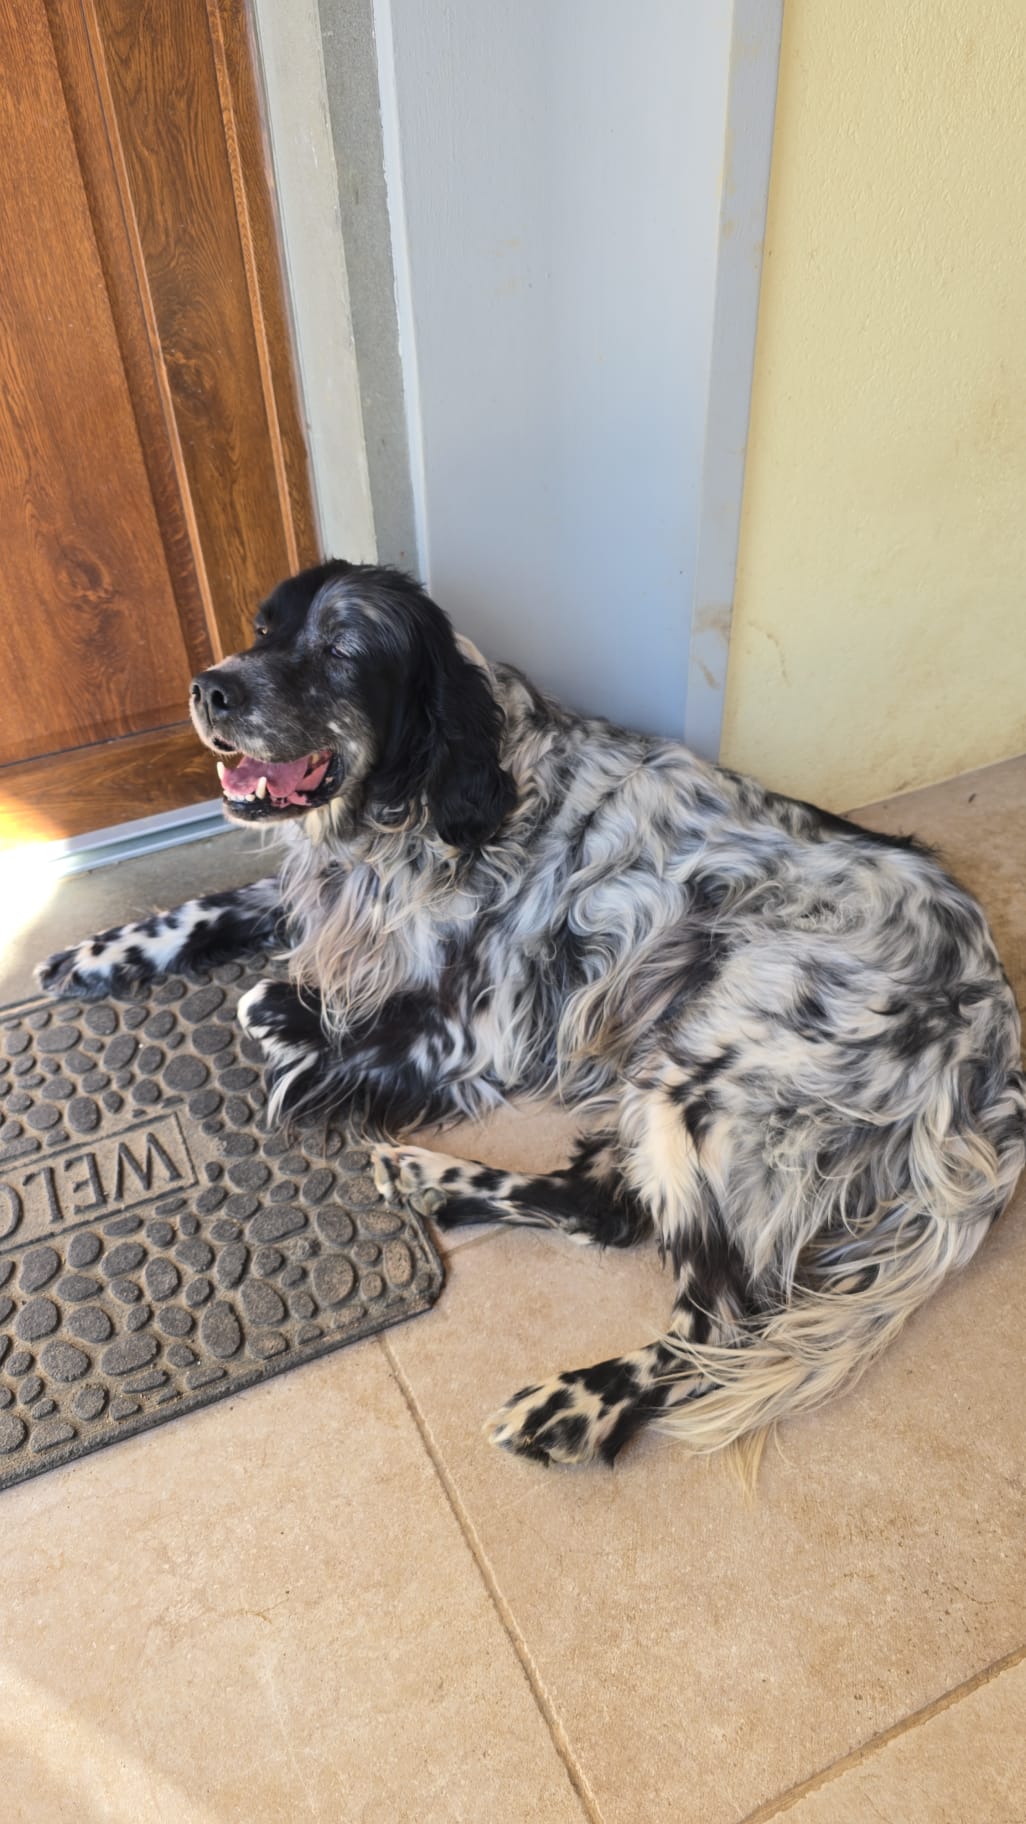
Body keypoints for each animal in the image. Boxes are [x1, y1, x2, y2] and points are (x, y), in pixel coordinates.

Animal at [39, 560, 1026, 1471]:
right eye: (261, 628)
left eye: (341, 649)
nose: (209, 686)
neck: (433, 802)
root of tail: (990, 1026)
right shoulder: (328, 901)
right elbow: (214, 908)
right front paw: (96, 955)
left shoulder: (473, 1028)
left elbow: (274, 1014)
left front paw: (288, 1025)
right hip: (668, 1069)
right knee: (605, 1208)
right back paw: (431, 1178)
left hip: (704, 1074)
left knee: (720, 1317)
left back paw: (580, 1399)